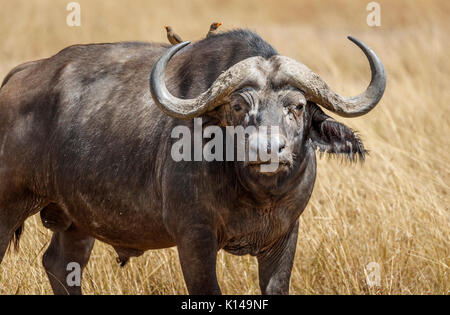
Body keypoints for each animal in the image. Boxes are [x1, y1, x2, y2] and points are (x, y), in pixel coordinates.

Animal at [0, 29, 386, 294]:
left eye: (298, 106)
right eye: (239, 105)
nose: (267, 149)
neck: (256, 196)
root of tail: (17, 78)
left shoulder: (285, 235)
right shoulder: (194, 238)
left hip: (77, 222)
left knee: (60, 264)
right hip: (10, 207)